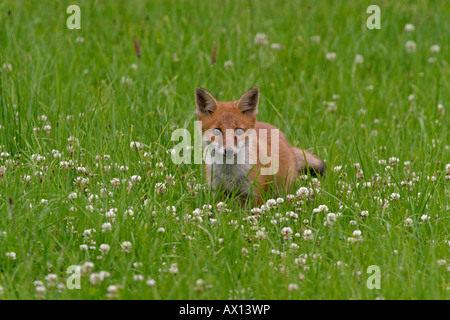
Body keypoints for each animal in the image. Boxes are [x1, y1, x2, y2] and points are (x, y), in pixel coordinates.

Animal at [195, 86, 326, 204]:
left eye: (239, 131)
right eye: (217, 131)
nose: (229, 150)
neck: (230, 174)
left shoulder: (256, 194)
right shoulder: (217, 193)